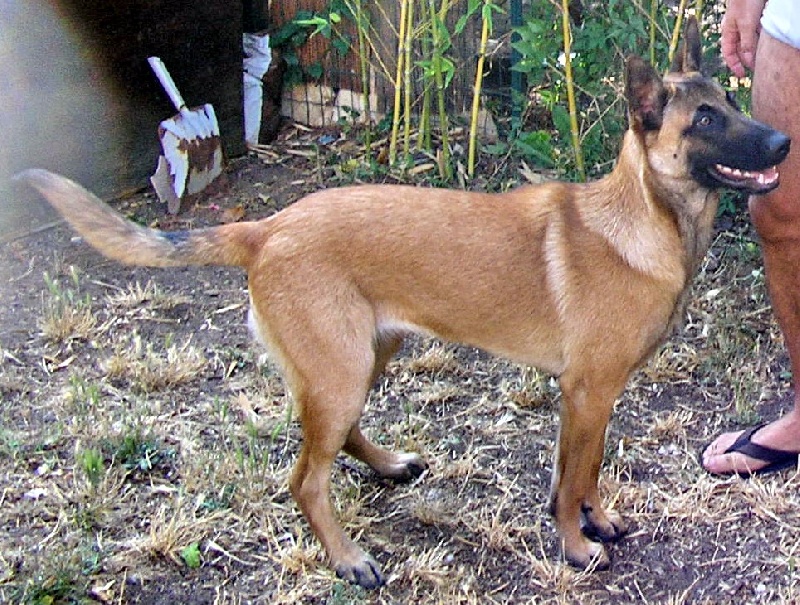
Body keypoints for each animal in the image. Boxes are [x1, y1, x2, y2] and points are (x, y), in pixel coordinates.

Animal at [17, 17, 788, 584]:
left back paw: (387, 465)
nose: (783, 139)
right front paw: (575, 544)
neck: (644, 218)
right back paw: (349, 558)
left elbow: (587, 469)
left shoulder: (597, 397)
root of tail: (265, 228)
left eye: (731, 102)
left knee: (335, 438)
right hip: (342, 367)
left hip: (364, 356)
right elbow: (570, 478)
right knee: (305, 478)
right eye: (705, 120)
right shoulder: (586, 391)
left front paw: (599, 519)